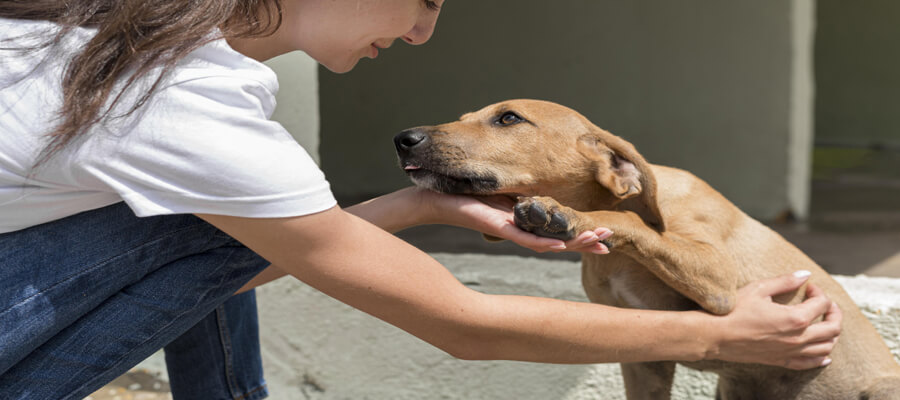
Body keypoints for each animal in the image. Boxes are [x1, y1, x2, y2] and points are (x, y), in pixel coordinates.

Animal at [394, 99, 900, 400]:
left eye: (509, 118)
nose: (404, 139)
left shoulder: (719, 280)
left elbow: (631, 221)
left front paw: (562, 215)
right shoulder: (643, 355)